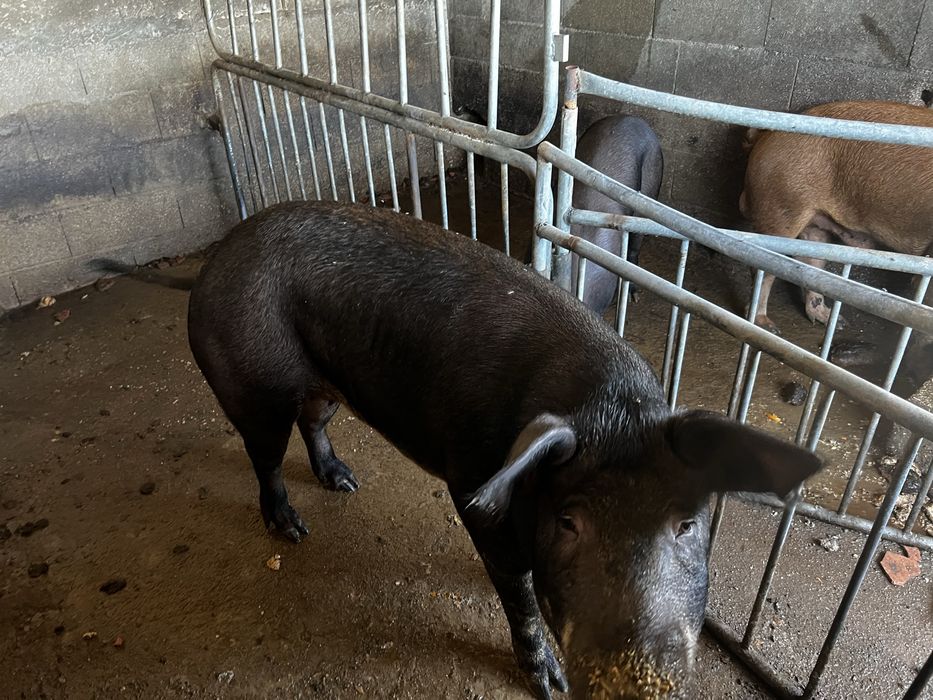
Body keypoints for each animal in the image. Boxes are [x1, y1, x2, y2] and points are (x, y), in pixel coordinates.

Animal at [185, 200, 821, 698]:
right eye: (568, 522)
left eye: (688, 525)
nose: (633, 684)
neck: (609, 406)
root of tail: (218, 257)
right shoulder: (472, 485)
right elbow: (516, 594)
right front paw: (547, 683)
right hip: (253, 379)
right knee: (265, 454)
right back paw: (292, 528)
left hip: (328, 383)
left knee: (313, 422)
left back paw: (344, 481)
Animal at [739, 100, 933, 334]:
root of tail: (765, 135)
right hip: (780, 207)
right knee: (763, 267)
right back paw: (767, 326)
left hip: (814, 224)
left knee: (812, 269)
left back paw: (836, 322)